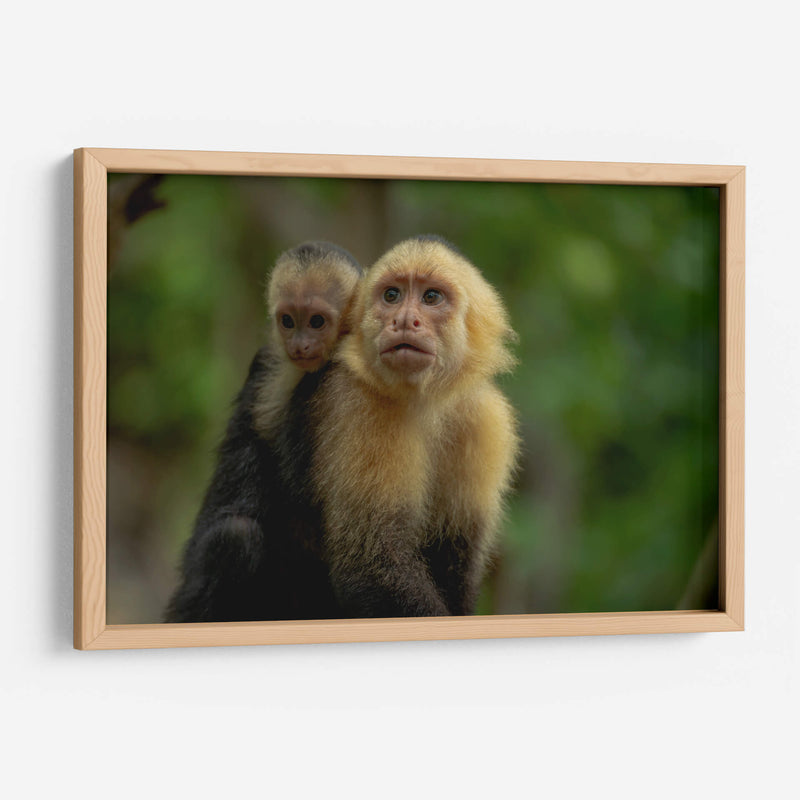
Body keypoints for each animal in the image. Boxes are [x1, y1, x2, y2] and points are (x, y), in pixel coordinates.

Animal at [306, 235, 519, 618]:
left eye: (431, 297)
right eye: (392, 295)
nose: (405, 320)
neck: (428, 402)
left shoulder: (486, 419)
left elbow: (458, 560)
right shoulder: (363, 402)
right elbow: (370, 563)